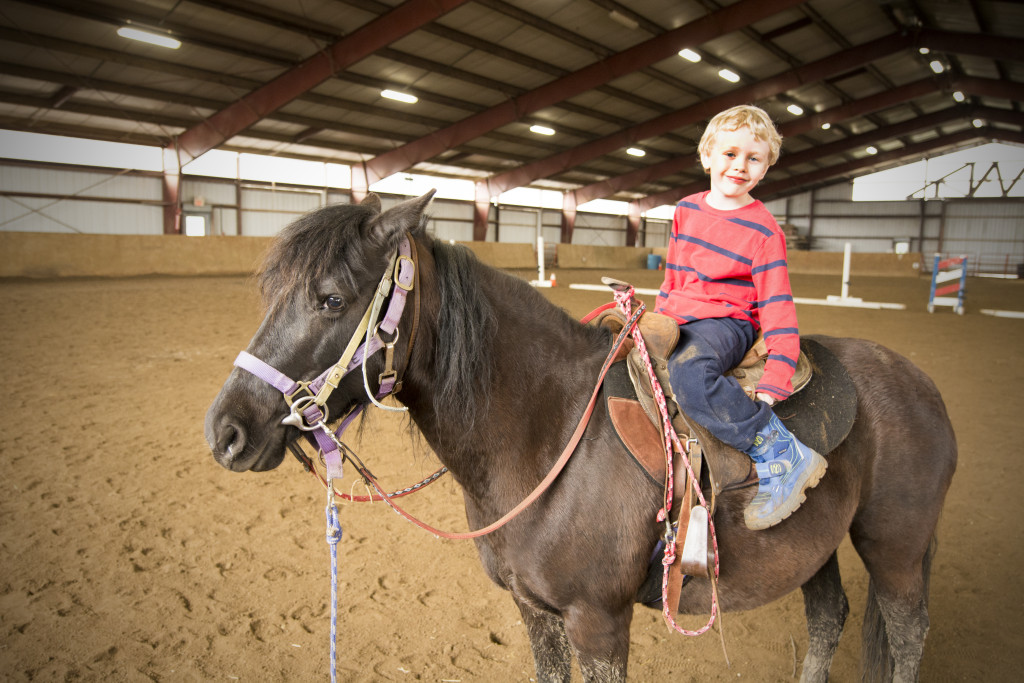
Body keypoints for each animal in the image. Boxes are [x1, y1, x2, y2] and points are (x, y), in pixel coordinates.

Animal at [203, 193, 954, 683]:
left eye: (331, 298)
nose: (226, 431)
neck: (548, 429)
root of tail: (918, 379)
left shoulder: (599, 622)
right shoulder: (535, 612)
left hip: (894, 544)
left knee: (909, 631)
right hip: (816, 544)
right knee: (829, 617)